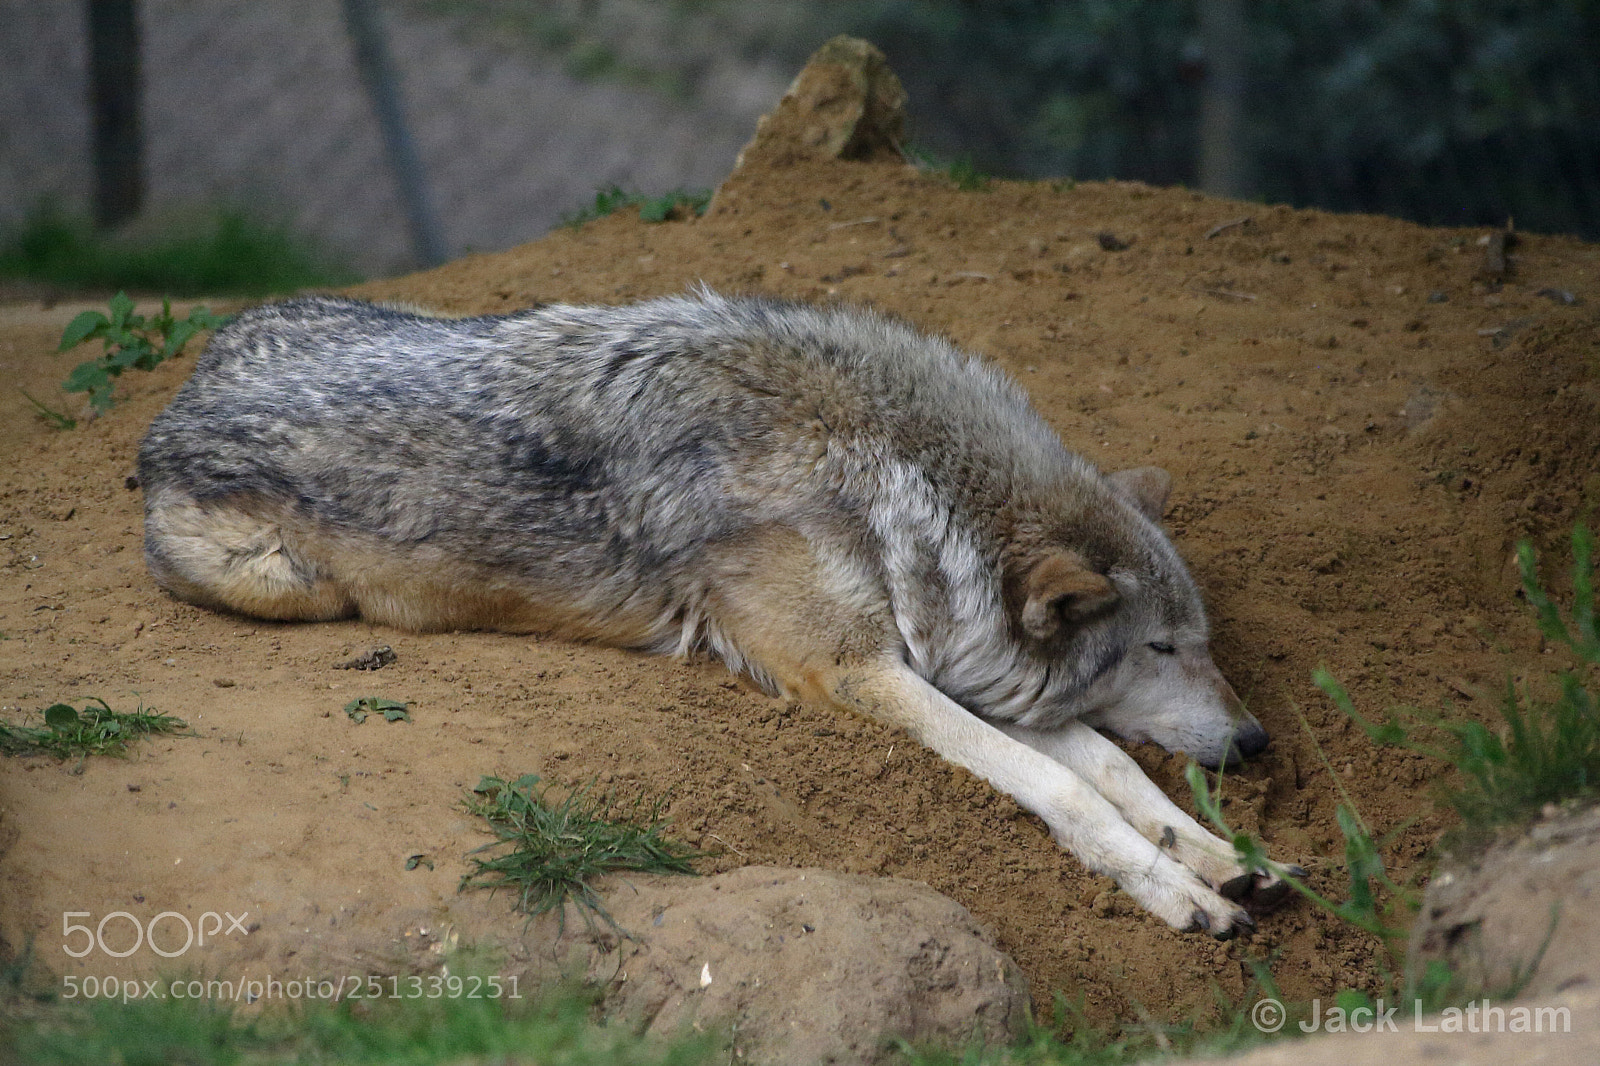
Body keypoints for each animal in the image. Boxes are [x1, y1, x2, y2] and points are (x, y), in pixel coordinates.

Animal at [138, 290, 1294, 937]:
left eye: (1201, 642)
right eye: (1160, 646)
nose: (1255, 739)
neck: (891, 468)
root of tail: (168, 408)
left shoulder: (932, 658)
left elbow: (1114, 769)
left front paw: (1232, 861)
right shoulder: (857, 670)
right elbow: (1062, 782)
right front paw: (1180, 894)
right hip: (285, 587)